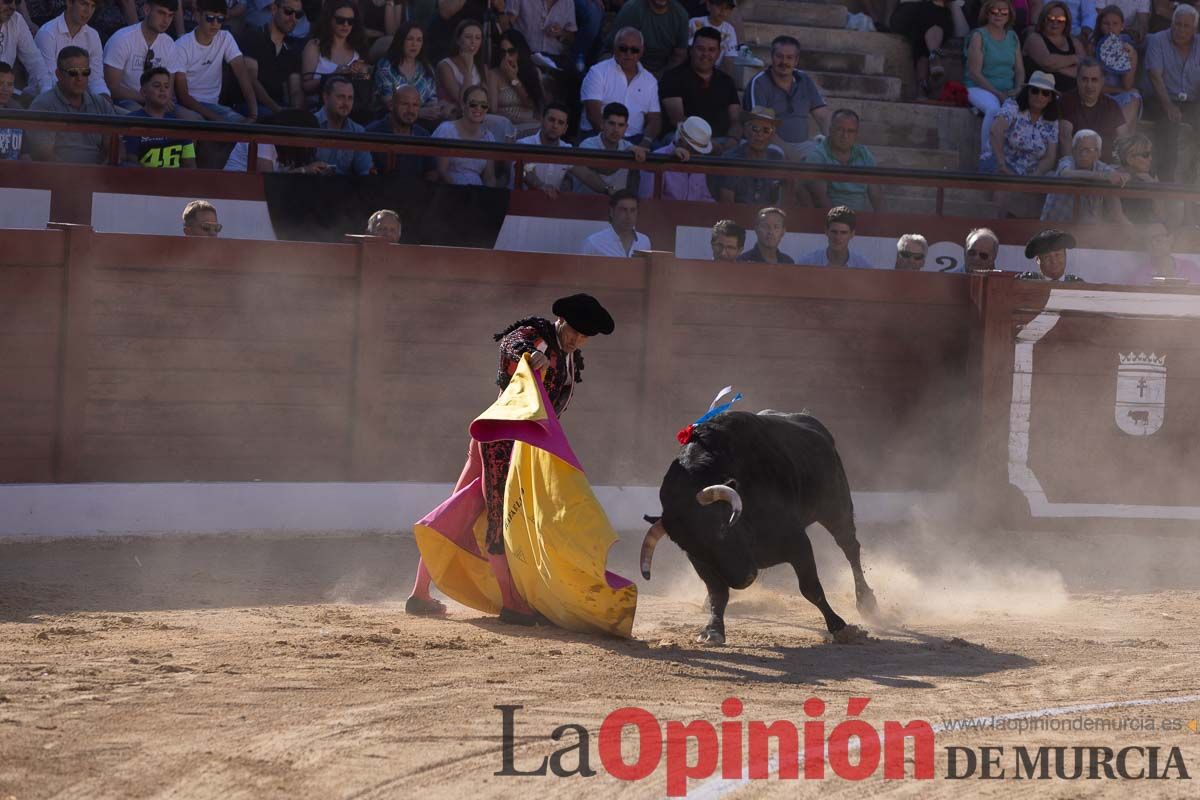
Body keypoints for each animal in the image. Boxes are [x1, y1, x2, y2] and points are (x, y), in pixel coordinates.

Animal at [643, 412, 878, 642]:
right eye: (691, 549)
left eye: (722, 528)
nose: (744, 580)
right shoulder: (700, 563)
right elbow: (718, 593)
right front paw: (713, 630)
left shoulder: (797, 541)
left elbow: (810, 587)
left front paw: (839, 626)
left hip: (837, 509)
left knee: (850, 548)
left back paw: (866, 602)